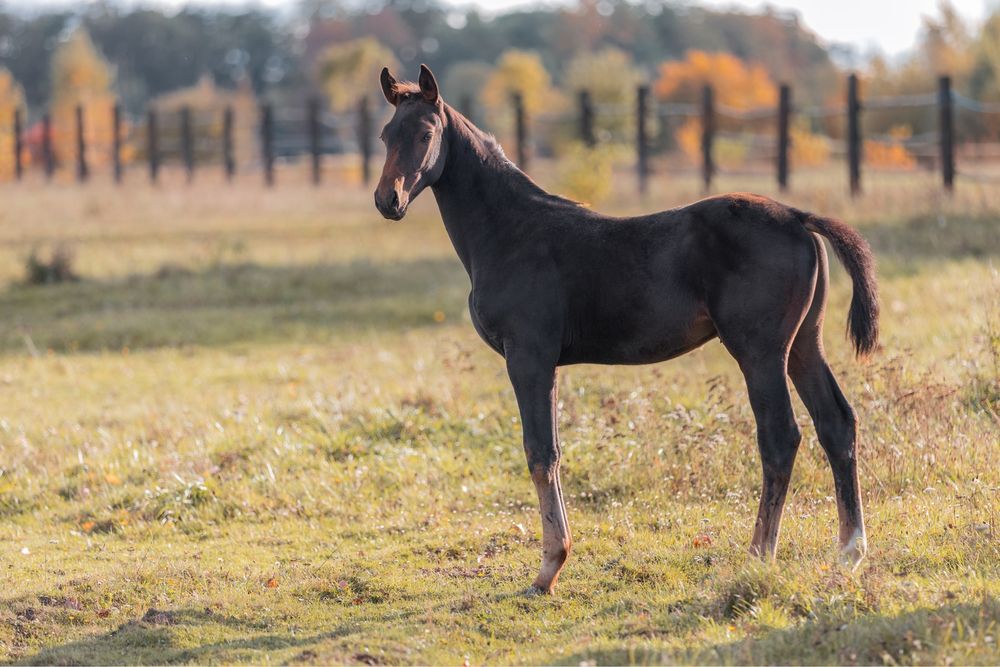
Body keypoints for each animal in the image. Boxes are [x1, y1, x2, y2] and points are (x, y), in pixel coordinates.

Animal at [373, 64, 879, 594]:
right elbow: (550, 451)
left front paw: (548, 568)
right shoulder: (544, 361)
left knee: (780, 437)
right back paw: (849, 551)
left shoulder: (529, 356)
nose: (388, 200)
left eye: (426, 134)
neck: (510, 232)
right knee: (836, 424)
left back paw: (760, 555)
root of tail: (800, 218)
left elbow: (540, 453)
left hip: (760, 352)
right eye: (386, 135)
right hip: (804, 344)